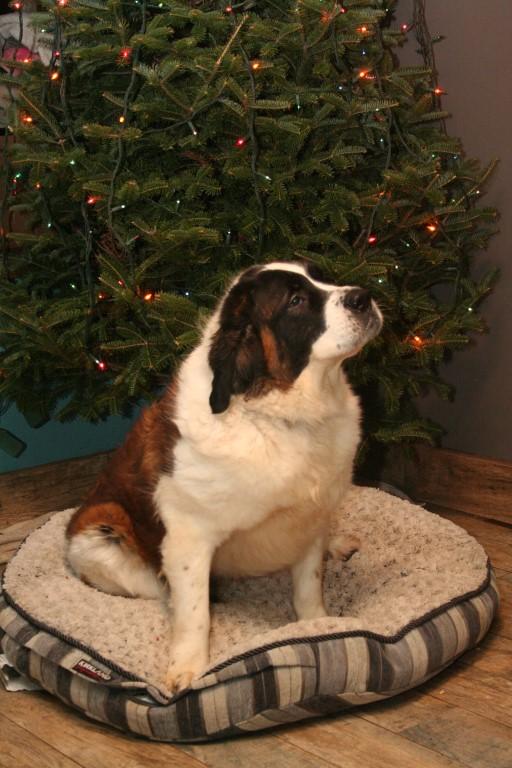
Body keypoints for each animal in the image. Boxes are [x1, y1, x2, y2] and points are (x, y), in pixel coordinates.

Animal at [66, 260, 383, 693]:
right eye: (296, 301)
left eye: (323, 277)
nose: (364, 297)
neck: (281, 416)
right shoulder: (188, 536)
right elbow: (195, 611)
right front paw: (188, 668)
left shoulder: (309, 517)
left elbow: (308, 584)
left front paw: (318, 626)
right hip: (100, 533)